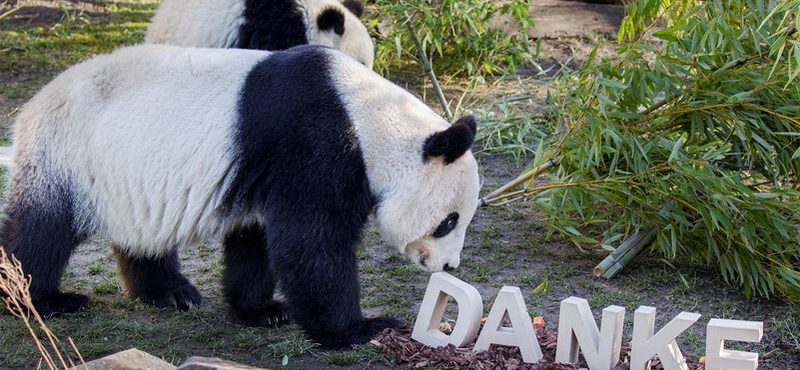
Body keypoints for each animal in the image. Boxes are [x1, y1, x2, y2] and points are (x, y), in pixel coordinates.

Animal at [1, 44, 482, 348]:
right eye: (449, 221)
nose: (449, 266)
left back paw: (171, 293)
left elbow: (261, 240)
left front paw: (263, 311)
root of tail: (31, 106)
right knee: (42, 231)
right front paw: (360, 328)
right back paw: (38, 300)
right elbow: (311, 242)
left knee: (141, 233)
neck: (369, 117)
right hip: (68, 153)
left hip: (122, 171)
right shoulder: (316, 142)